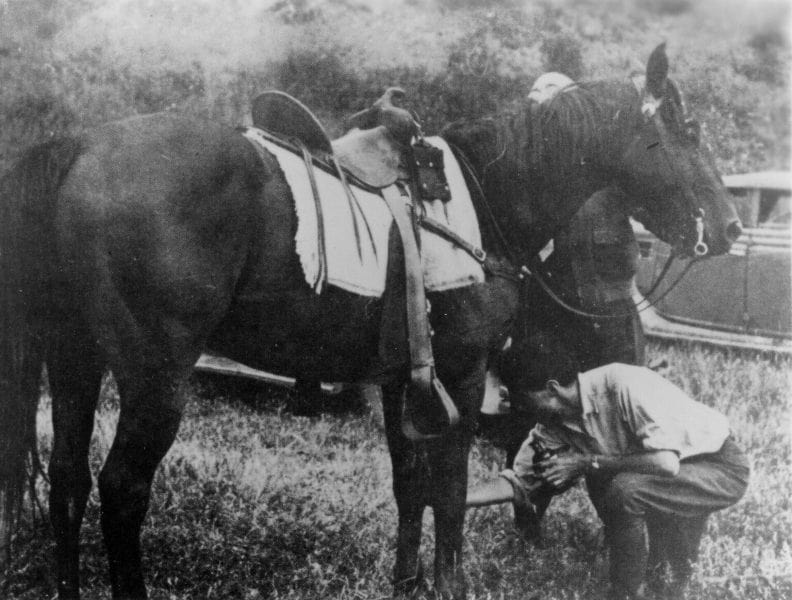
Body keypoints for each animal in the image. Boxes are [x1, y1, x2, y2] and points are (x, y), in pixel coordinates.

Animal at [0, 44, 741, 599]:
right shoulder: (461, 376)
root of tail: (82, 146)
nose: (730, 229)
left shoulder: (398, 383)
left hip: (75, 357)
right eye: (686, 134)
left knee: (66, 477)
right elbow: (449, 489)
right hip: (156, 379)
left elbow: (409, 485)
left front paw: (406, 581)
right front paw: (448, 583)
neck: (488, 195)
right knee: (121, 487)